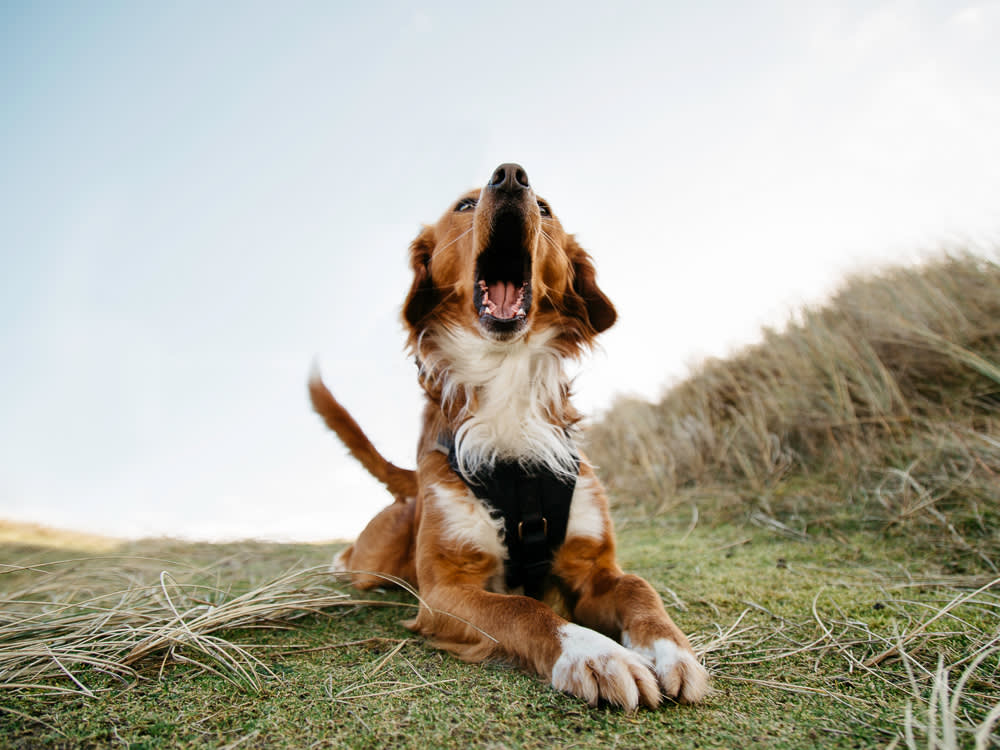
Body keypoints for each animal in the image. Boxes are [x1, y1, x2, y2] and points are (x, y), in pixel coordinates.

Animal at [308, 163, 708, 712]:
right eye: (464, 205)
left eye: (545, 208)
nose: (512, 176)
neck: (506, 376)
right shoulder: (445, 590)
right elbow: (524, 609)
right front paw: (597, 655)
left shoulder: (594, 567)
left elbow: (639, 589)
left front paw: (672, 650)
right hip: (377, 558)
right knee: (353, 564)